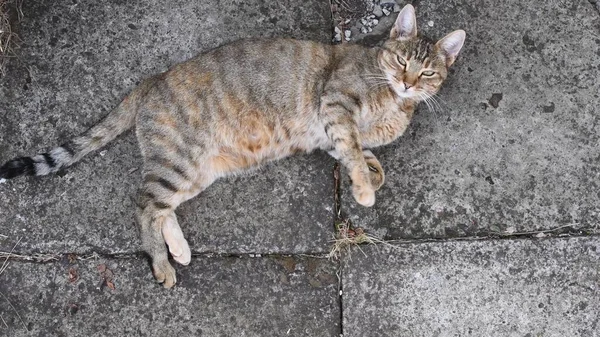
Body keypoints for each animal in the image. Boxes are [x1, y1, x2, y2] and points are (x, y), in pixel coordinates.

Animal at [0, 4, 464, 286]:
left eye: (427, 73)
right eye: (402, 62)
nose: (408, 82)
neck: (395, 103)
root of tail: (151, 81)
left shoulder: (334, 131)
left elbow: (361, 157)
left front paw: (366, 175)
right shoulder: (335, 106)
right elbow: (353, 150)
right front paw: (364, 189)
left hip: (197, 171)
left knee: (160, 206)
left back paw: (179, 250)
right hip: (180, 162)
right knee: (144, 205)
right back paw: (161, 263)